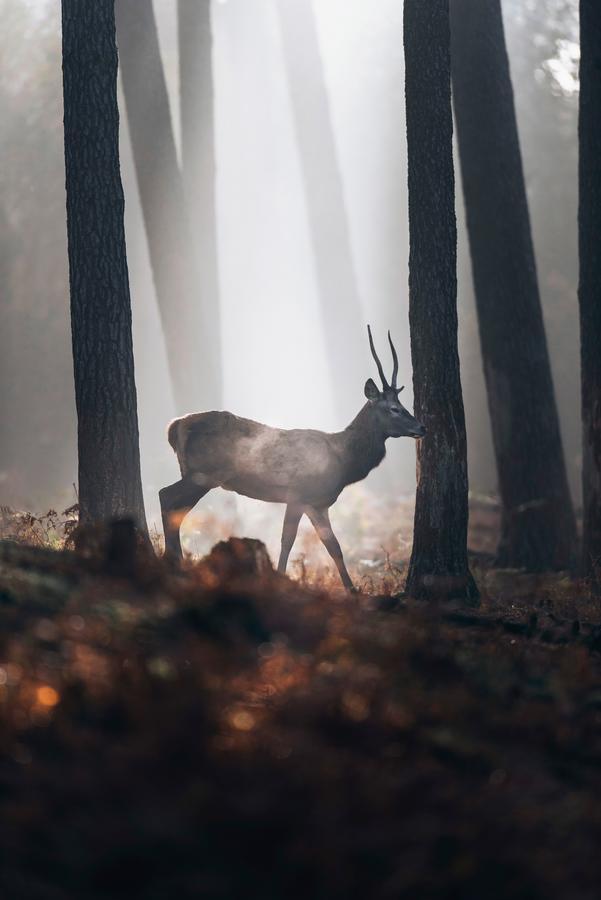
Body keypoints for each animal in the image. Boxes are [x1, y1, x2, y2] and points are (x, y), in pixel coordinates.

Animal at [157, 326, 424, 596]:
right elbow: (288, 539)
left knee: (174, 506)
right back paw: (173, 563)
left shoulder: (318, 503)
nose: (421, 427)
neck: (343, 460)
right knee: (166, 496)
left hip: (197, 474)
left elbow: (333, 545)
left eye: (401, 404)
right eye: (394, 409)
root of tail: (174, 426)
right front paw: (281, 580)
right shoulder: (298, 493)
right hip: (203, 473)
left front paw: (352, 590)